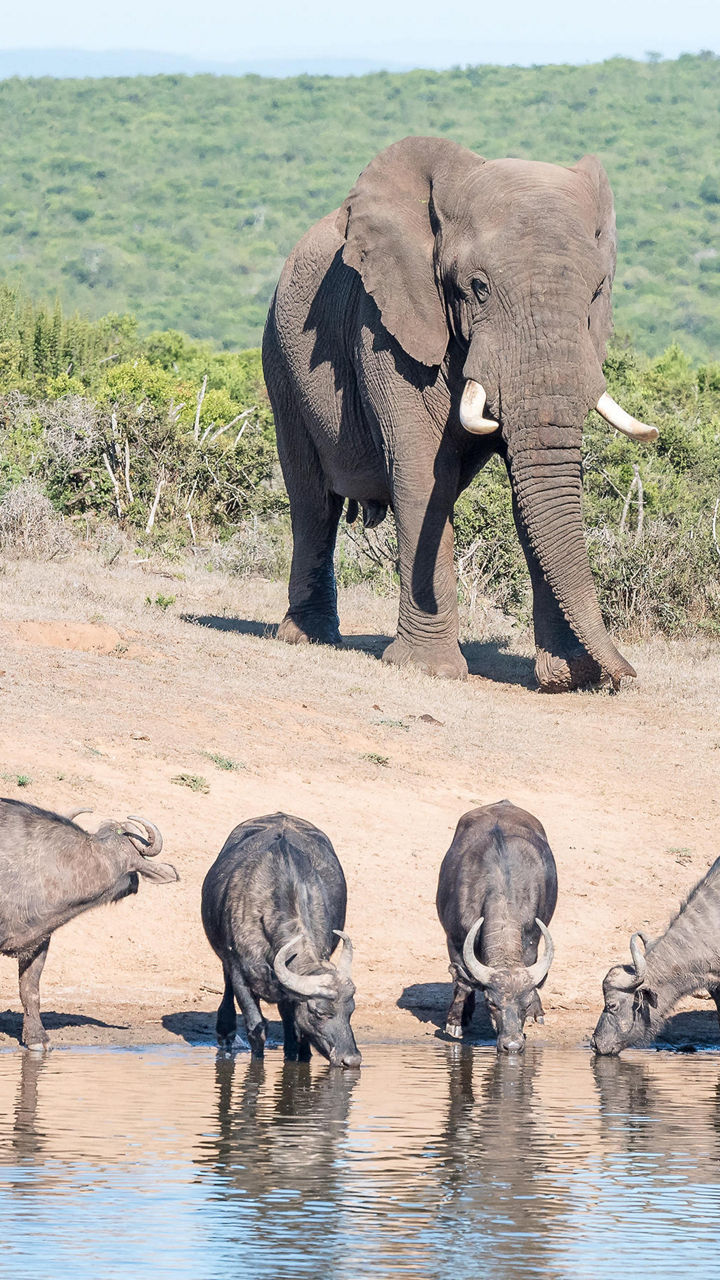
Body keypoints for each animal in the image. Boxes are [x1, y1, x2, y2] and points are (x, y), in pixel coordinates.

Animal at [201, 813, 361, 1068]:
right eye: (319, 1012)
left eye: (351, 1011)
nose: (351, 1059)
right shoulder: (240, 974)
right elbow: (256, 1028)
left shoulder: (291, 996)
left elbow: (297, 1031)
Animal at [262, 136, 658, 690]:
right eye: (478, 287)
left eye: (598, 291)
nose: (625, 677)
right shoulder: (383, 322)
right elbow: (423, 475)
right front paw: (431, 670)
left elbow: (530, 491)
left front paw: (569, 677)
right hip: (279, 358)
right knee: (313, 500)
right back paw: (307, 637)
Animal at [436, 800, 557, 1053]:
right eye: (491, 1003)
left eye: (525, 1003)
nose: (512, 1044)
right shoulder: (454, 939)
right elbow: (462, 981)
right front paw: (455, 1022)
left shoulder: (531, 938)